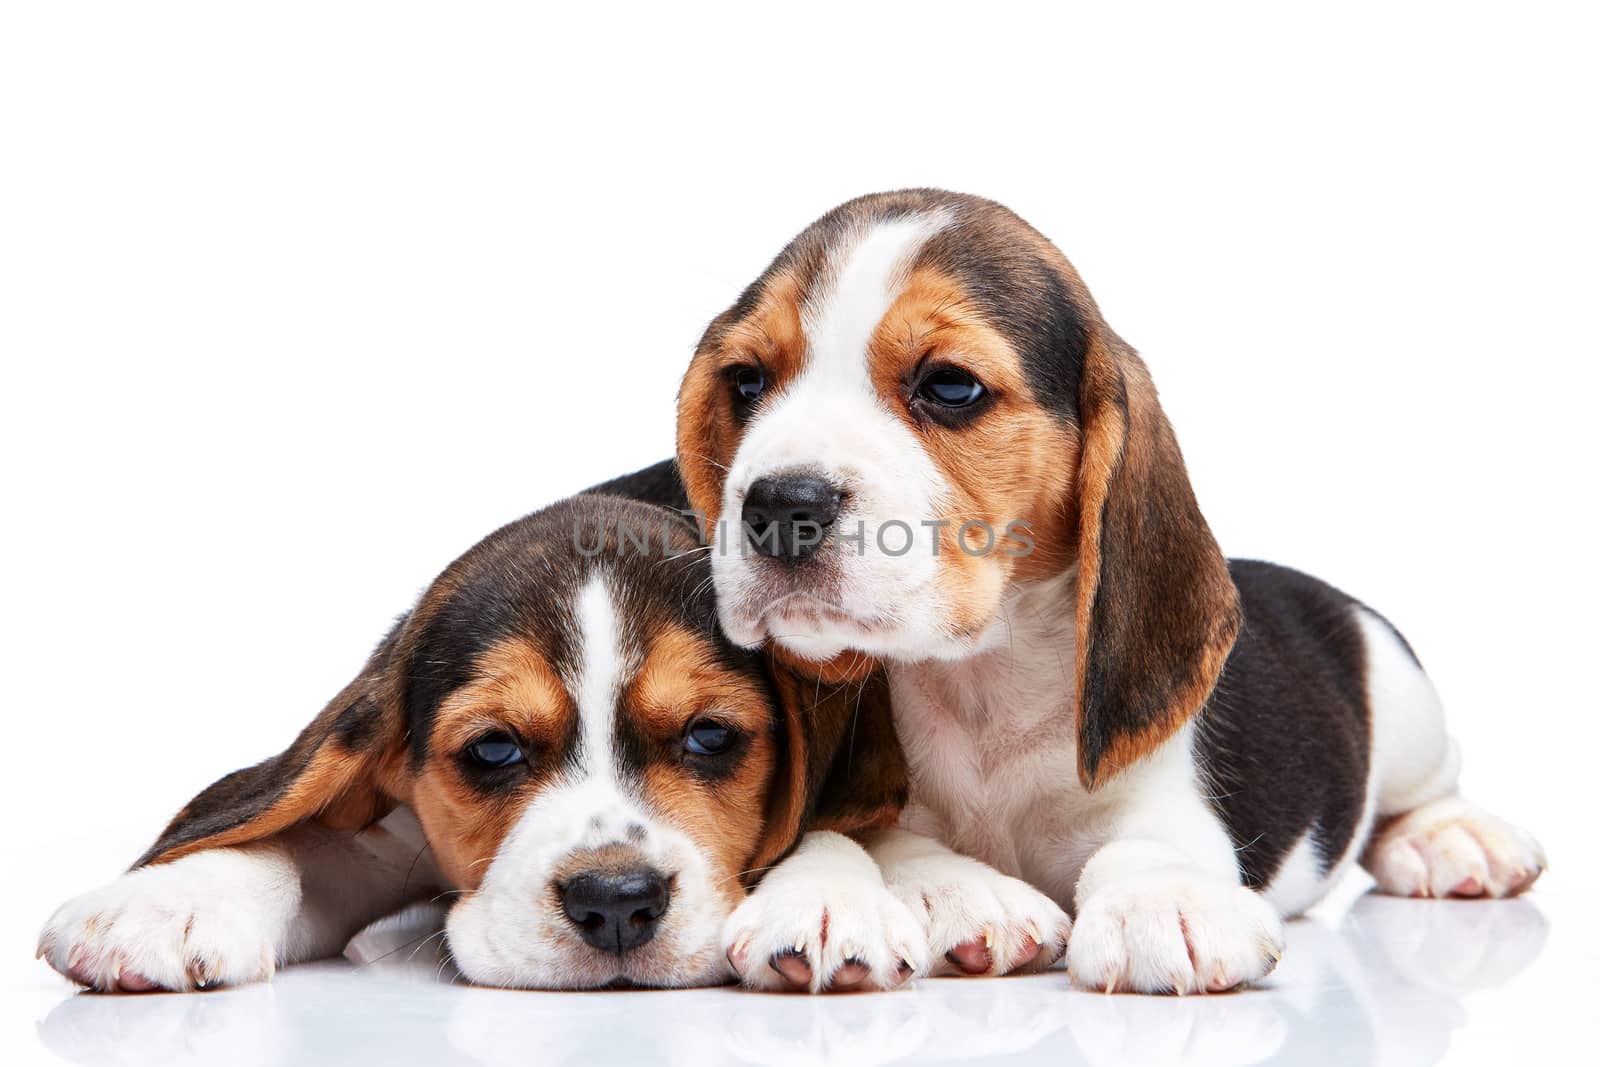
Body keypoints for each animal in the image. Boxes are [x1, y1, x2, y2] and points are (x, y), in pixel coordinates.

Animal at [37, 495, 921, 998]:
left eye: (710, 734)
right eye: (494, 749)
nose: (615, 903)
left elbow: (826, 821)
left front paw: (824, 898)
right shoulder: (387, 832)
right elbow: (295, 843)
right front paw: (169, 902)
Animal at [656, 187, 1542, 998]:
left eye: (950, 386)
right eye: (746, 382)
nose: (778, 504)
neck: (979, 676)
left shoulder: (1164, 797)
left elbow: (1144, 844)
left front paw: (1164, 903)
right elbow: (885, 839)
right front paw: (953, 890)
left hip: (1402, 691)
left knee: (1426, 788)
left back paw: (1454, 839)